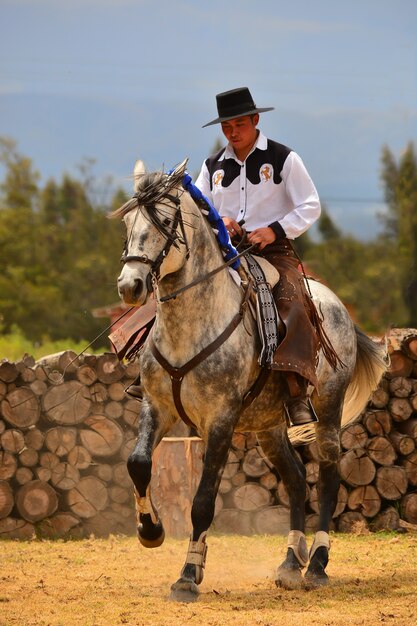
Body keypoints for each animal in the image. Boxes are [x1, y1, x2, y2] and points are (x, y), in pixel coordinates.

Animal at [113, 158, 386, 596]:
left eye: (166, 221)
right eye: (128, 221)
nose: (130, 286)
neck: (192, 324)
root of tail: (338, 307)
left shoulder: (220, 420)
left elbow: (203, 500)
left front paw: (188, 575)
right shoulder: (157, 407)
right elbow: (138, 463)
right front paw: (150, 530)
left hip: (327, 409)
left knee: (328, 476)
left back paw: (317, 564)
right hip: (269, 426)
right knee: (295, 478)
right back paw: (291, 561)